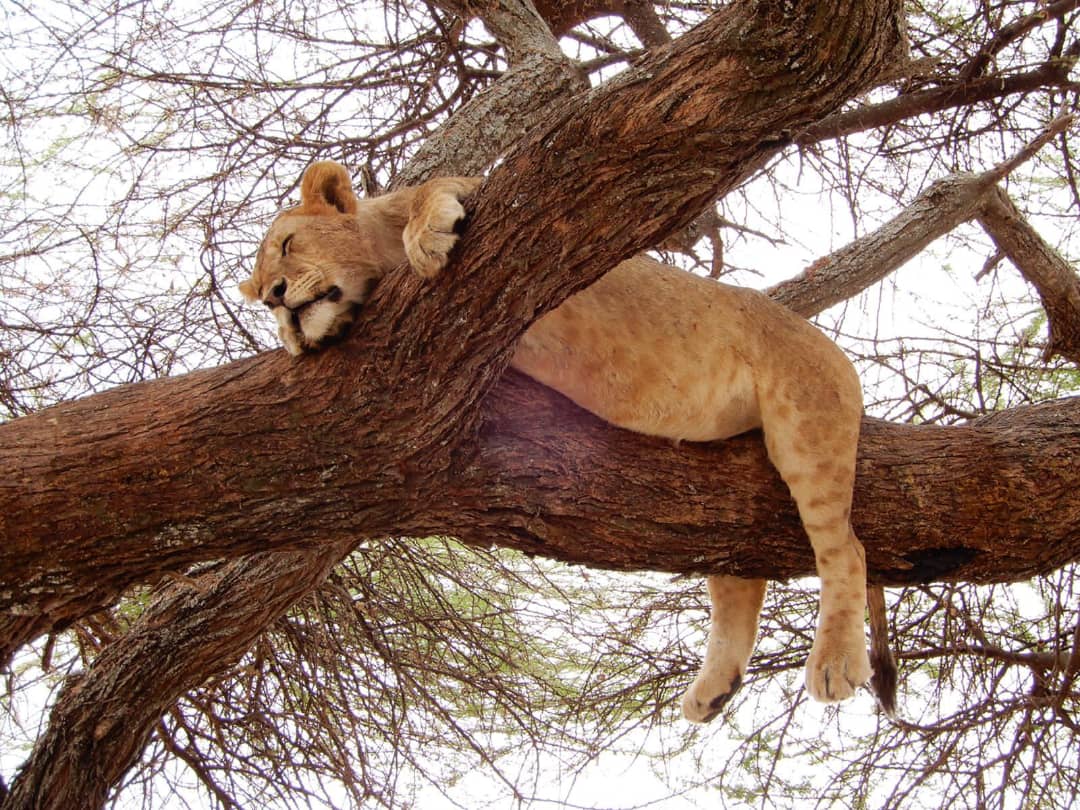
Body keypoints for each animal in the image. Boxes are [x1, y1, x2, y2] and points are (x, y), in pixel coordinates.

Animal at [240, 160, 894, 722]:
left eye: (288, 244)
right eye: (263, 288)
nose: (275, 297)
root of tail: (834, 349)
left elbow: (435, 187)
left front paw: (427, 236)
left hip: (807, 422)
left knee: (846, 549)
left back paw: (835, 662)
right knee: (741, 576)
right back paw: (714, 689)